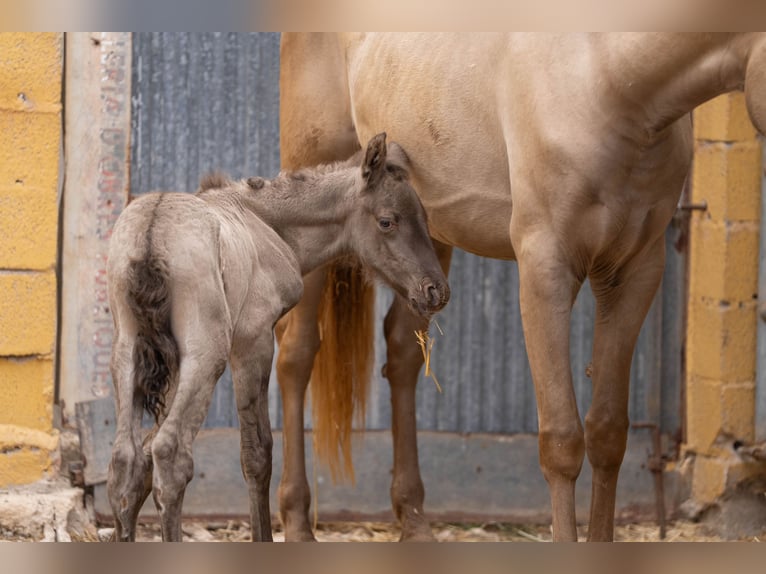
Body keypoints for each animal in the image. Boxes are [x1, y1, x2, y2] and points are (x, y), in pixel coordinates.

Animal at [104, 133, 448, 544]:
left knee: (125, 457)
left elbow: (142, 453)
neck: (266, 221)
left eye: (426, 219)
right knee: (171, 453)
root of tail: (151, 237)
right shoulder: (253, 338)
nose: (436, 290)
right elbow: (258, 451)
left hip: (128, 351)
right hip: (206, 354)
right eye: (386, 221)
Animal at [276, 32, 766, 544]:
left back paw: (413, 521)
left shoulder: (634, 274)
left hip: (426, 245)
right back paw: (297, 524)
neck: (607, 79)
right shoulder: (544, 270)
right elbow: (562, 441)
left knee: (404, 355)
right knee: (296, 353)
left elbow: (608, 433)